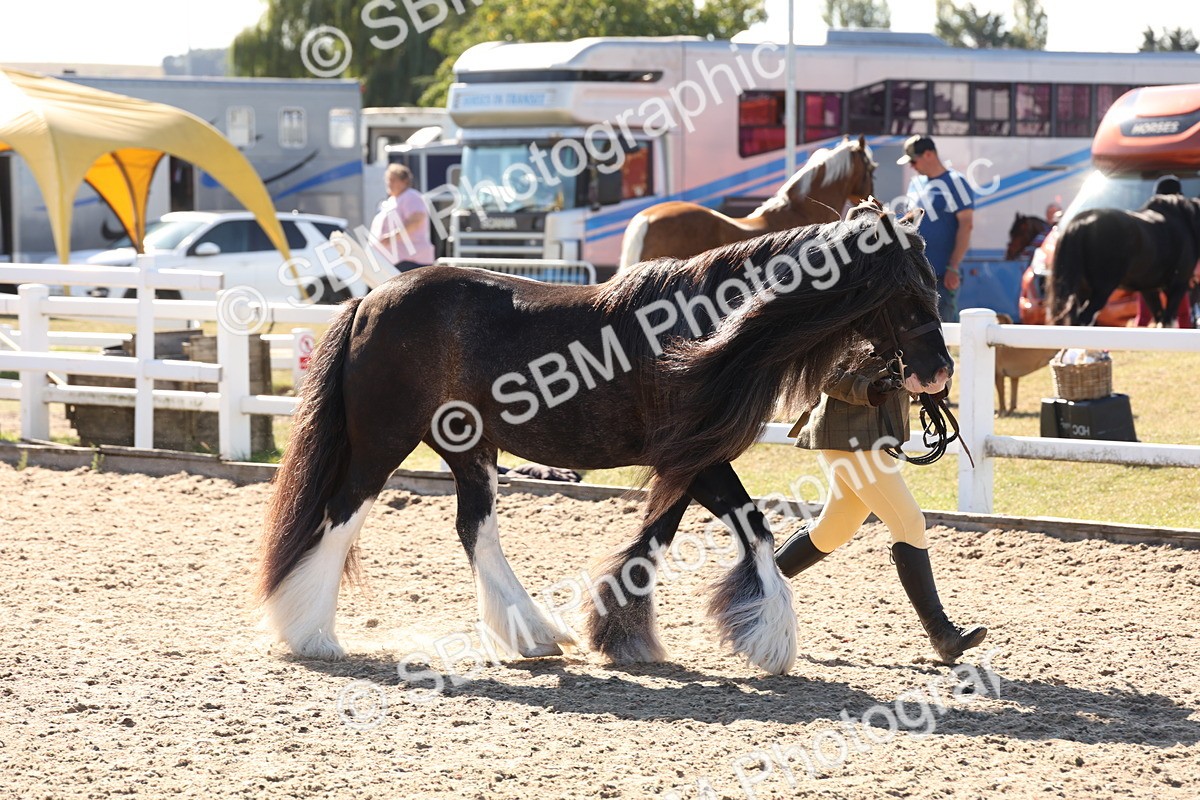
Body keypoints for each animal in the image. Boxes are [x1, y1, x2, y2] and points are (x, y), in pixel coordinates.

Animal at [257, 206, 951, 677]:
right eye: (904, 290)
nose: (939, 372)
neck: (710, 331)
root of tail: (372, 297)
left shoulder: (689, 463)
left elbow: (662, 538)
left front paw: (621, 633)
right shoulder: (695, 459)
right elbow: (748, 526)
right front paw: (771, 640)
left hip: (470, 449)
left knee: (474, 528)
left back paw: (534, 636)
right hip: (383, 442)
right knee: (341, 516)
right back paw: (312, 635)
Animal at [1048, 194, 1200, 326]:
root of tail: (1081, 221)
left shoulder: (1149, 289)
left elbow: (1159, 318)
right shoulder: (1178, 285)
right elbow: (1168, 321)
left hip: (1082, 291)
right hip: (1103, 289)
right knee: (1085, 318)